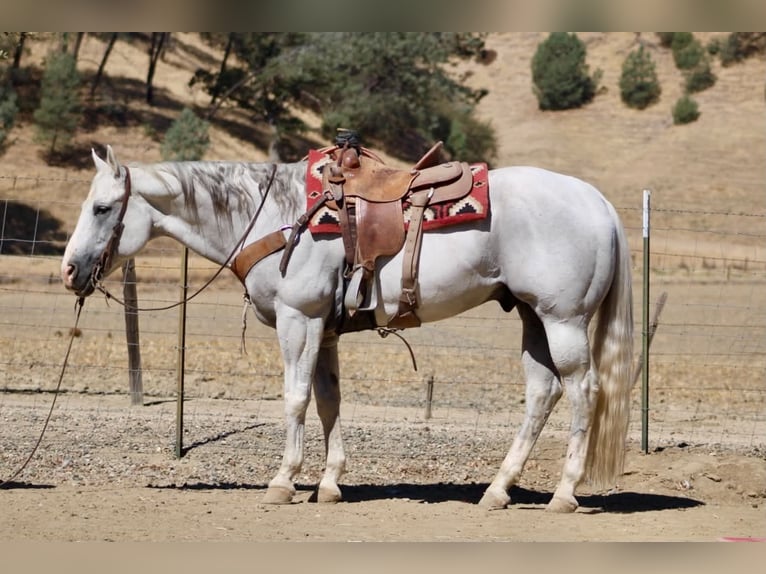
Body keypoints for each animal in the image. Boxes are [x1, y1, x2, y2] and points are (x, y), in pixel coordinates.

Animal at [61, 145, 634, 512]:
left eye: (103, 208)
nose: (69, 270)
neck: (274, 215)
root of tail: (599, 202)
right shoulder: (325, 327)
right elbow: (328, 401)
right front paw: (330, 482)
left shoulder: (298, 320)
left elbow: (295, 399)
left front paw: (284, 481)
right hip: (534, 318)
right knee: (541, 394)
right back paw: (497, 490)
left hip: (563, 320)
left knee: (582, 391)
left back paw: (564, 494)